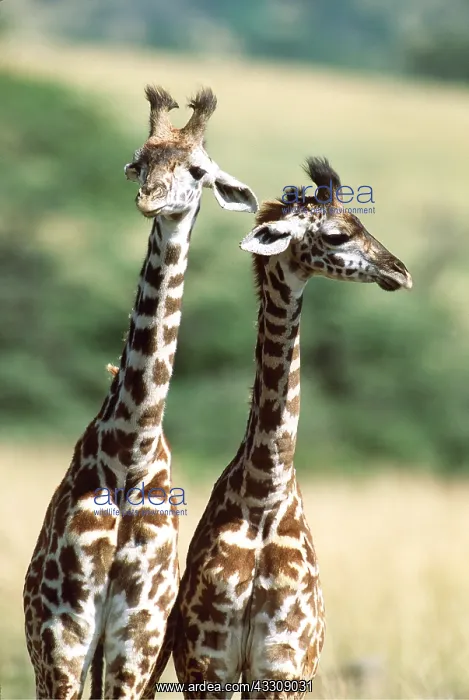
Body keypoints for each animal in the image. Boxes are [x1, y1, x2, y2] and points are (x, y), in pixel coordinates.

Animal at [23, 85, 257, 700]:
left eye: (198, 170)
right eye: (139, 162)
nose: (151, 200)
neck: (129, 455)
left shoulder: (139, 637)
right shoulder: (63, 637)